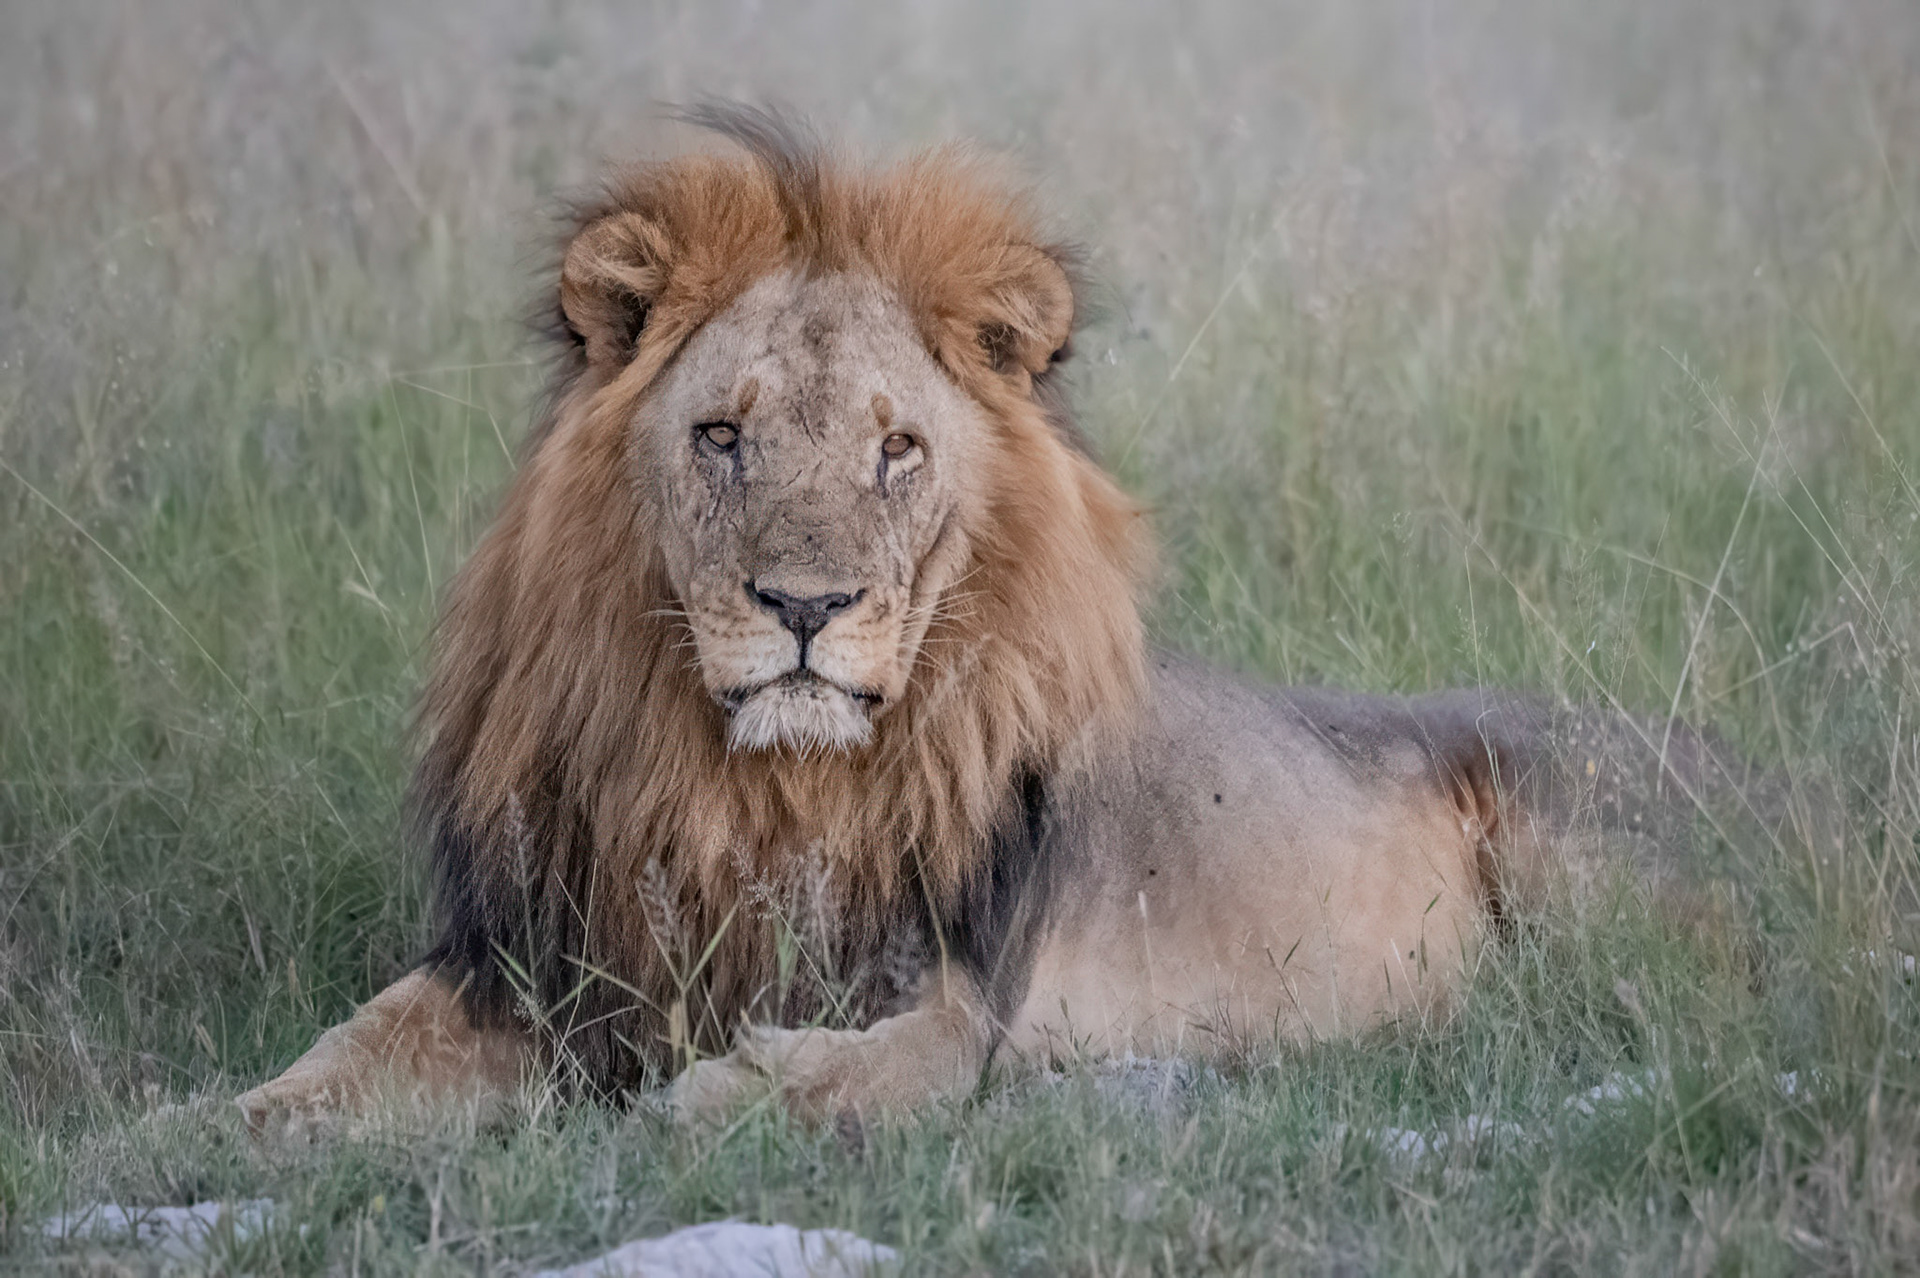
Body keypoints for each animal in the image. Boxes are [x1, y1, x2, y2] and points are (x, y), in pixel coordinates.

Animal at [236, 106, 1778, 1139]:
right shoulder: (530, 962)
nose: (806, 607)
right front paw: (213, 1127)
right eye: (723, 436)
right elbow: (336, 1059)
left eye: (897, 450)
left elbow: (837, 1078)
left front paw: (703, 1096)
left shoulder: (961, 1003)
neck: (759, 797)